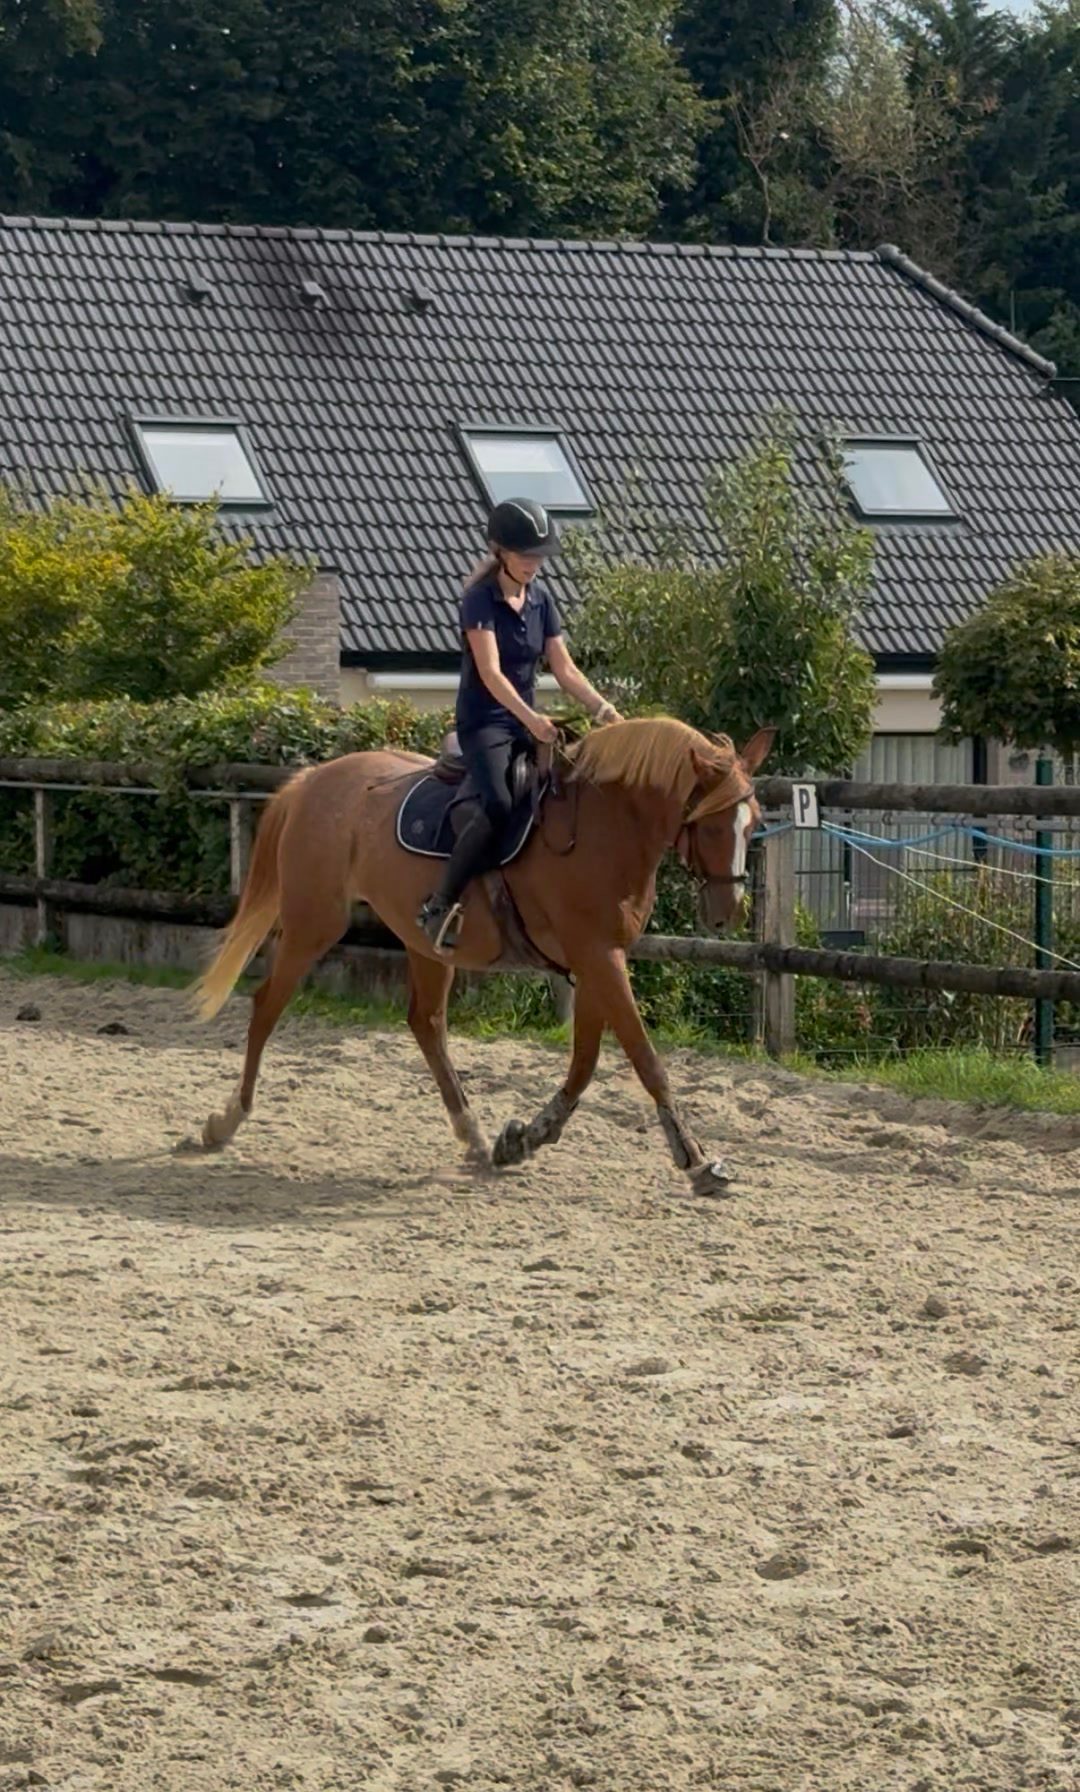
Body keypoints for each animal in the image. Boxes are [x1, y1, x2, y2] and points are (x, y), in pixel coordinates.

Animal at [193, 716, 776, 1197]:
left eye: (752, 822)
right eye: (712, 823)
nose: (727, 913)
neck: (604, 827)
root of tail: (312, 779)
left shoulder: (597, 959)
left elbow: (585, 1063)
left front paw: (524, 1139)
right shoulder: (598, 957)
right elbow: (645, 1059)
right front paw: (697, 1162)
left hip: (421, 942)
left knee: (426, 1024)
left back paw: (471, 1136)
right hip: (313, 924)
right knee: (267, 1006)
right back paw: (226, 1120)